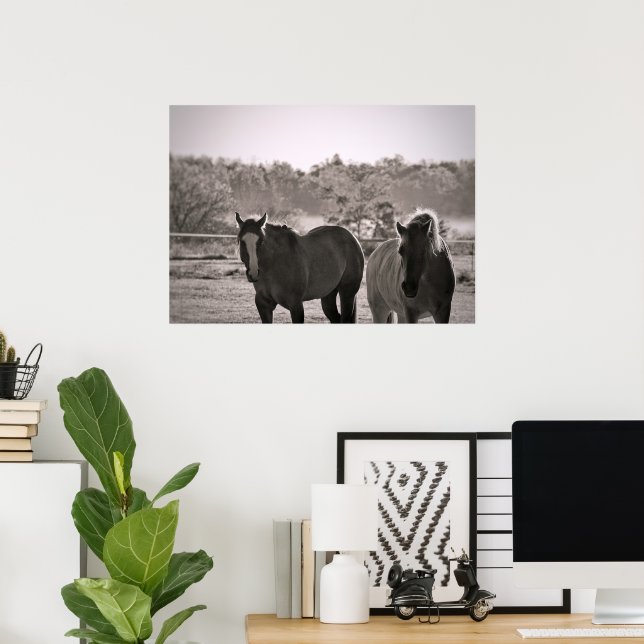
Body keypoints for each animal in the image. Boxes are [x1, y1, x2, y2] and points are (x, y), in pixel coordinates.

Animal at [235, 213, 365, 323]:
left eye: (261, 241)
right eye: (241, 241)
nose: (253, 273)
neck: (274, 265)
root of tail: (352, 238)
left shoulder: (296, 305)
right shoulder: (264, 305)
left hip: (347, 293)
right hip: (328, 295)